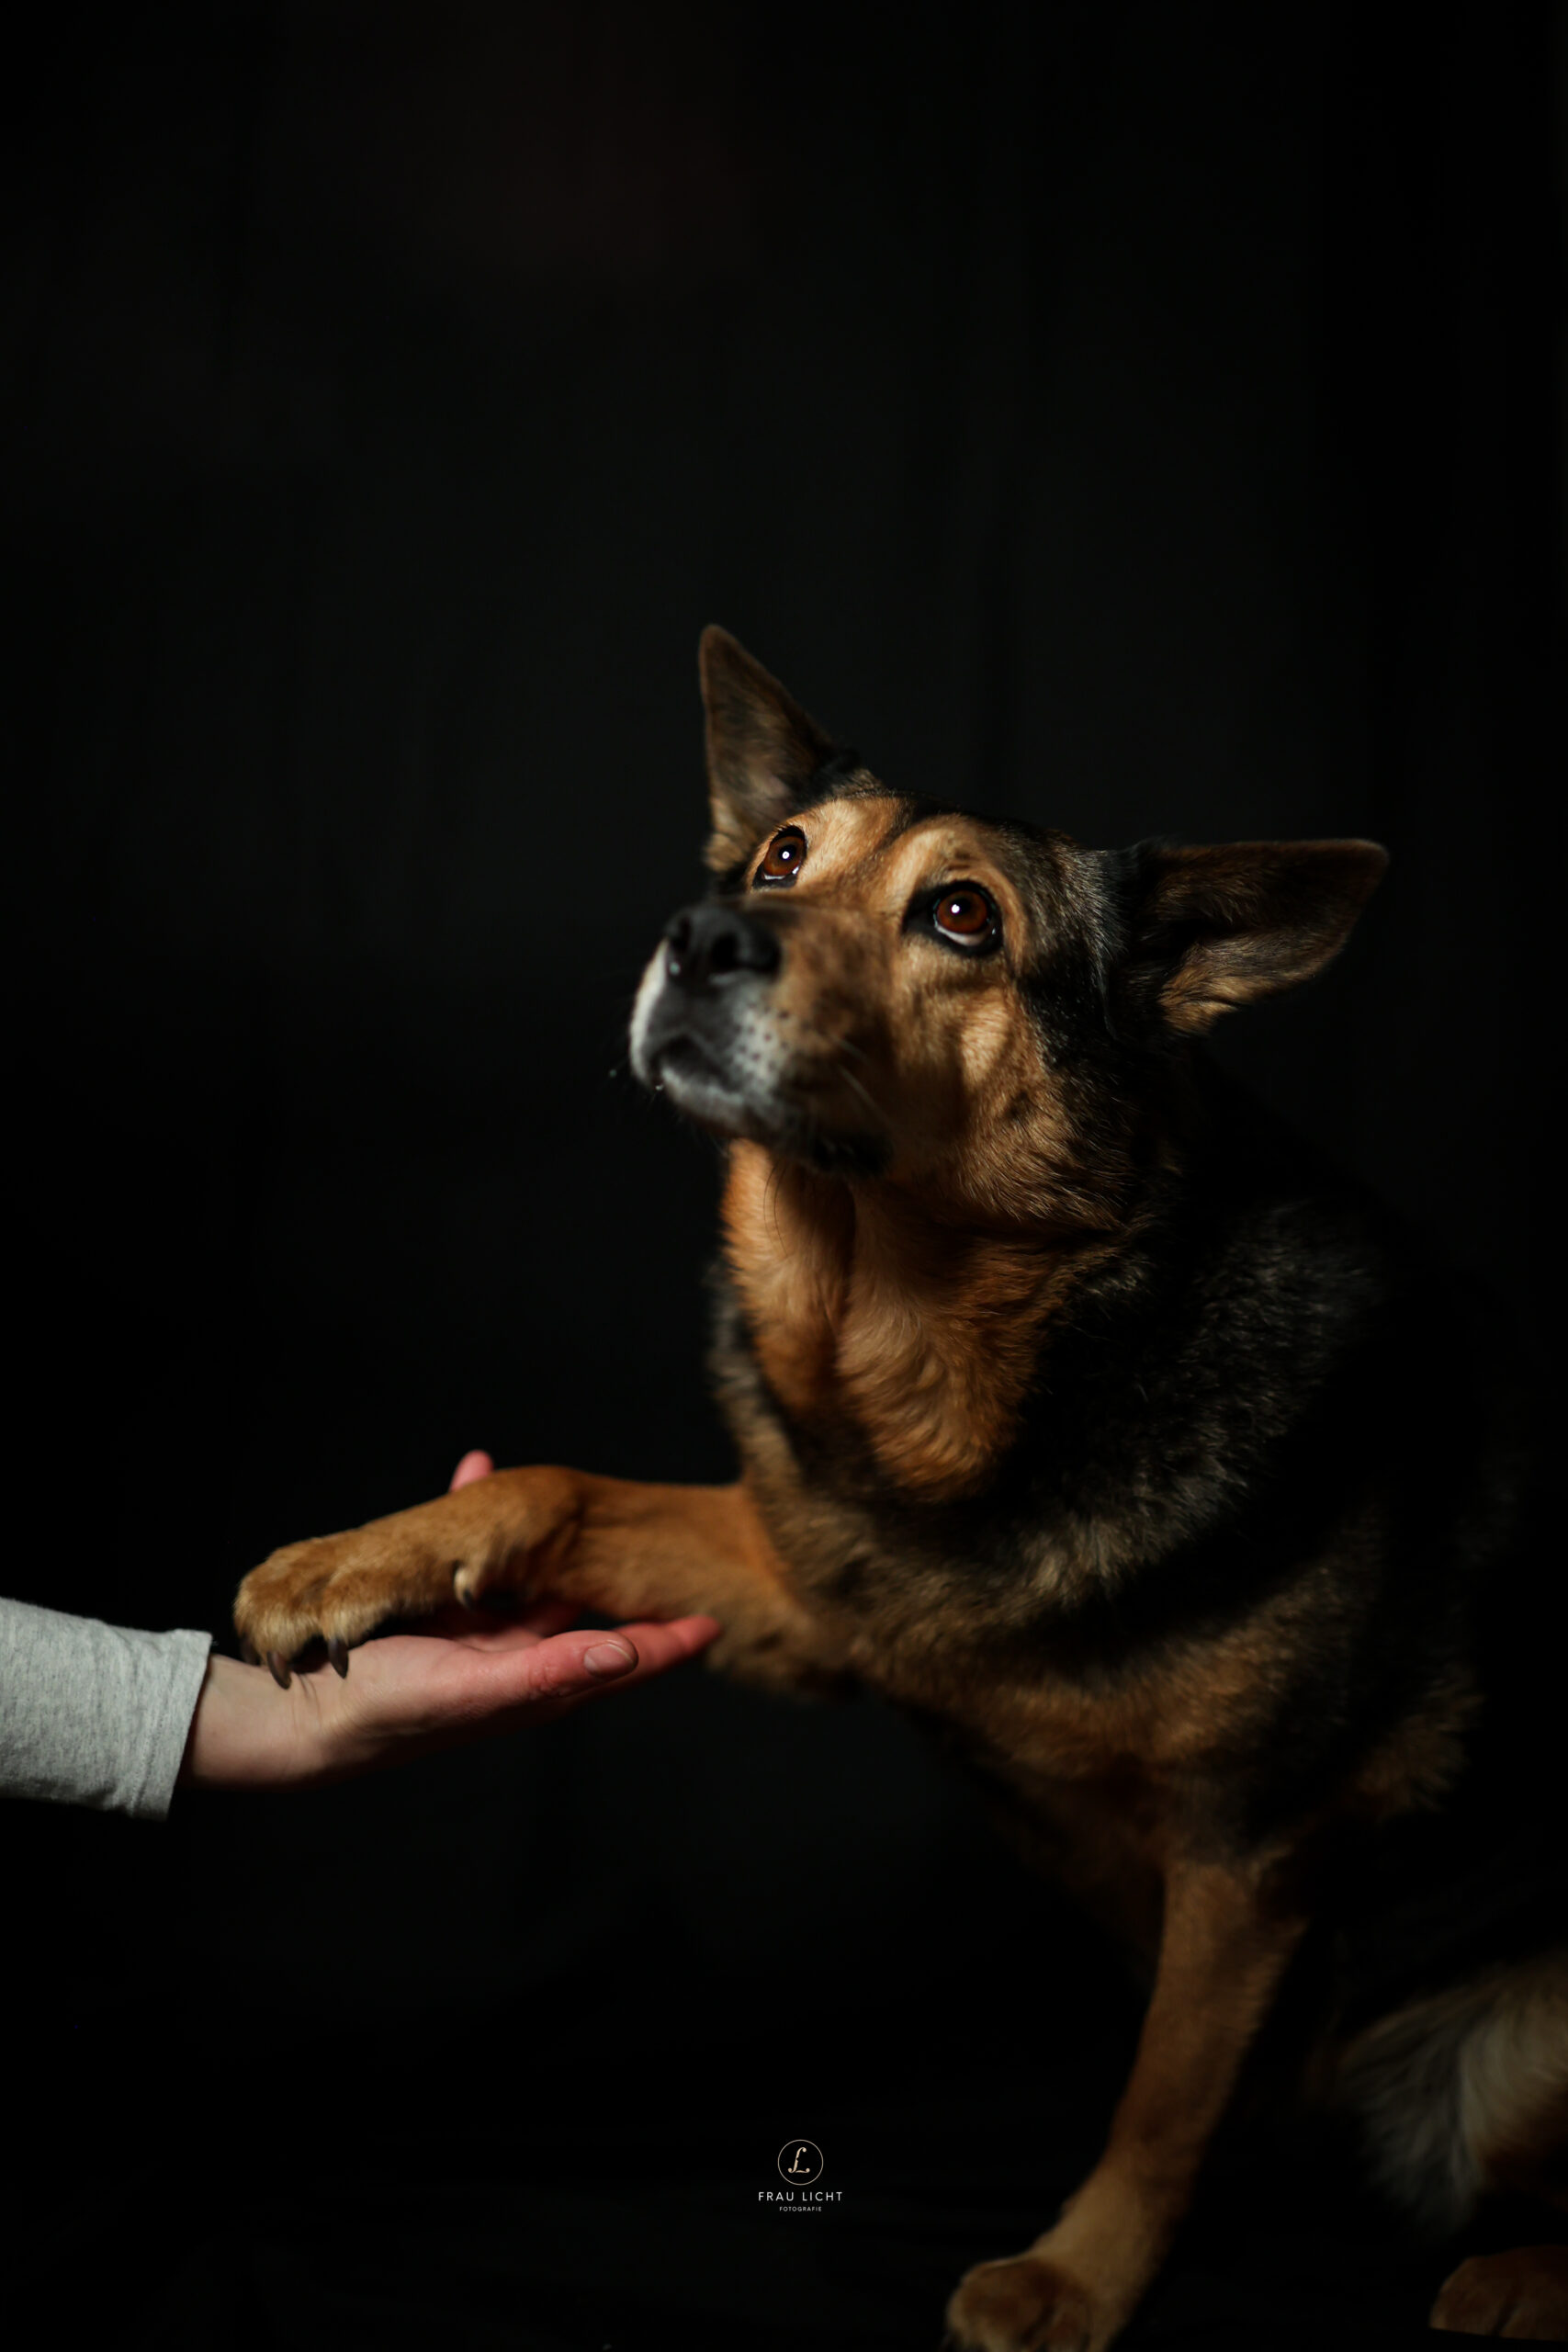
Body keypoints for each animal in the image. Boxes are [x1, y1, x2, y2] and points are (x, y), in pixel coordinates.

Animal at [236, 630, 1568, 2352]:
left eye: (960, 916)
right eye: (779, 859)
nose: (702, 933)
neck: (958, 1362)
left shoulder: (1245, 1854)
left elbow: (1162, 2097)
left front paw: (1073, 2275)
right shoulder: (810, 1592)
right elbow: (559, 1482)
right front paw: (356, 1558)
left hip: (1519, 2043)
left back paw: (1519, 2280)